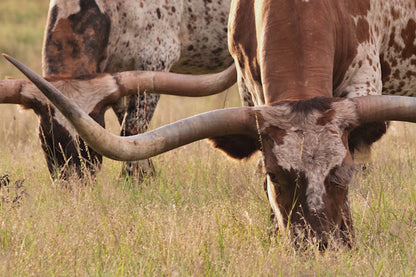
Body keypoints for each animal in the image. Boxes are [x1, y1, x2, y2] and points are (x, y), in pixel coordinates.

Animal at [0, 0, 234, 178]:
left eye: (91, 139)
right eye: (47, 137)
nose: (75, 185)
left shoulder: (156, 59)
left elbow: (132, 128)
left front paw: (133, 180)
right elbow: (128, 137)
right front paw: (148, 176)